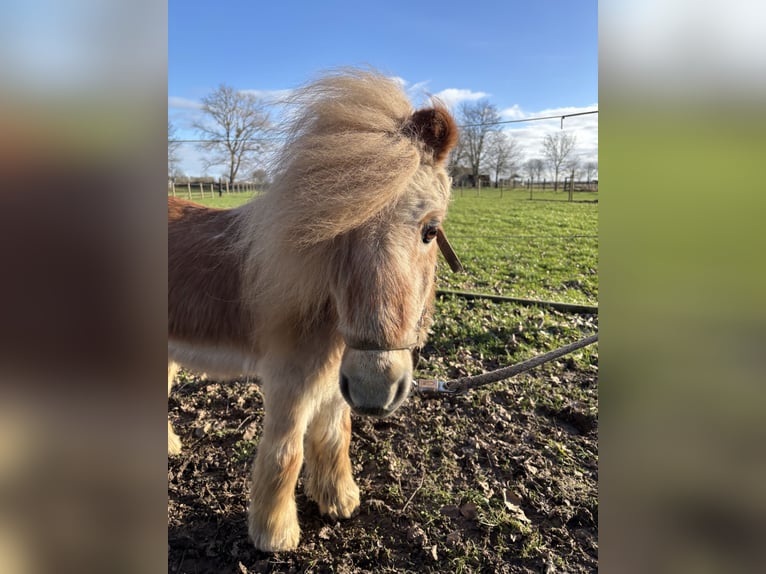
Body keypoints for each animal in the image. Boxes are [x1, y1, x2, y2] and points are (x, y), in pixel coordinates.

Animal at [168, 68, 460, 552]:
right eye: (337, 231)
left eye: (430, 230)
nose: (375, 388)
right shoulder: (290, 381)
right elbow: (287, 450)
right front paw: (275, 534)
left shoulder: (336, 383)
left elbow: (333, 437)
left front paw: (338, 500)